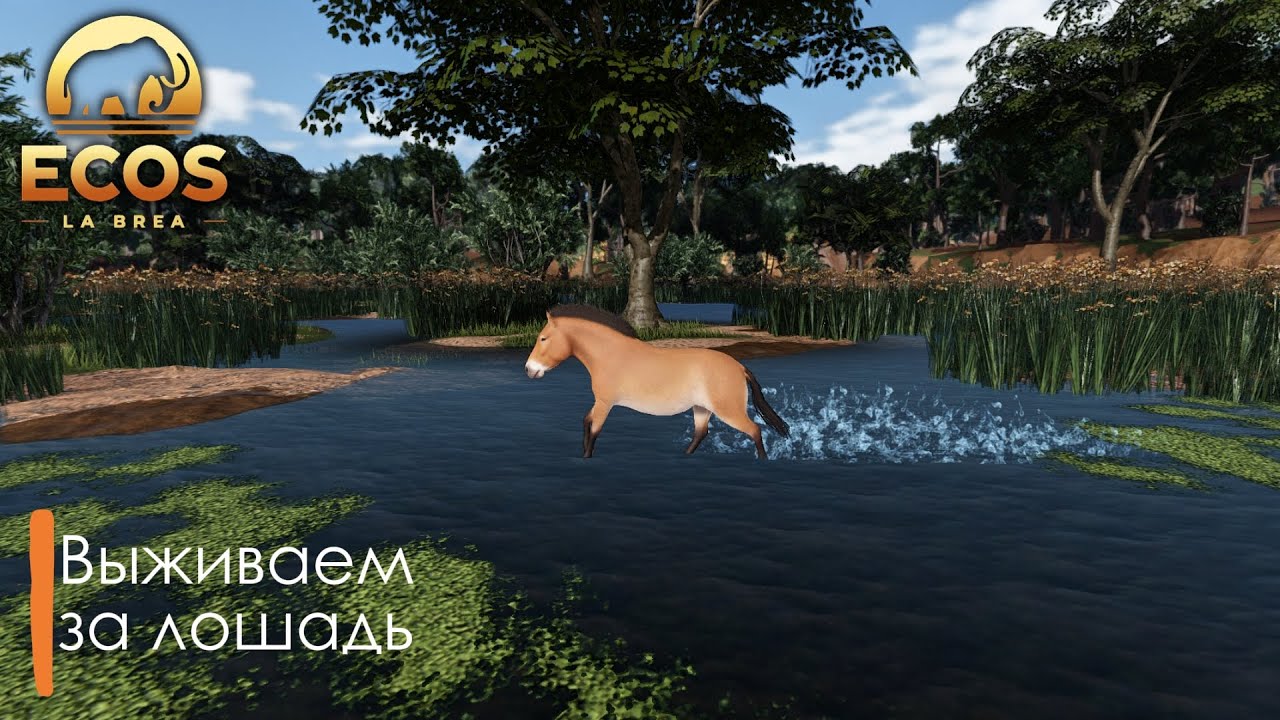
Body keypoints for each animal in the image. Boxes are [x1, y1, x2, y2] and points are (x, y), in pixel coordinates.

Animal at [524, 304, 790, 459]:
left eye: (543, 338)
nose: (529, 369)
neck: (609, 354)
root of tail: (740, 367)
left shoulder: (605, 403)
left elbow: (595, 428)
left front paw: (586, 456)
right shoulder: (600, 403)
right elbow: (586, 421)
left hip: (728, 411)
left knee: (754, 430)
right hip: (702, 408)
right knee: (701, 433)